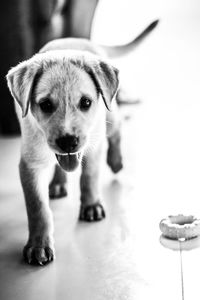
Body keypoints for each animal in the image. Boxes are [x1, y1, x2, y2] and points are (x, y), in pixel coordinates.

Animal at [6, 20, 159, 264]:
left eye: (86, 102)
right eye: (45, 105)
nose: (68, 141)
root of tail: (83, 40)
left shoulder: (94, 144)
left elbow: (89, 176)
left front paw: (91, 205)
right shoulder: (31, 163)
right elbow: (37, 207)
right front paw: (39, 244)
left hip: (110, 114)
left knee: (116, 130)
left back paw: (116, 161)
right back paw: (58, 183)